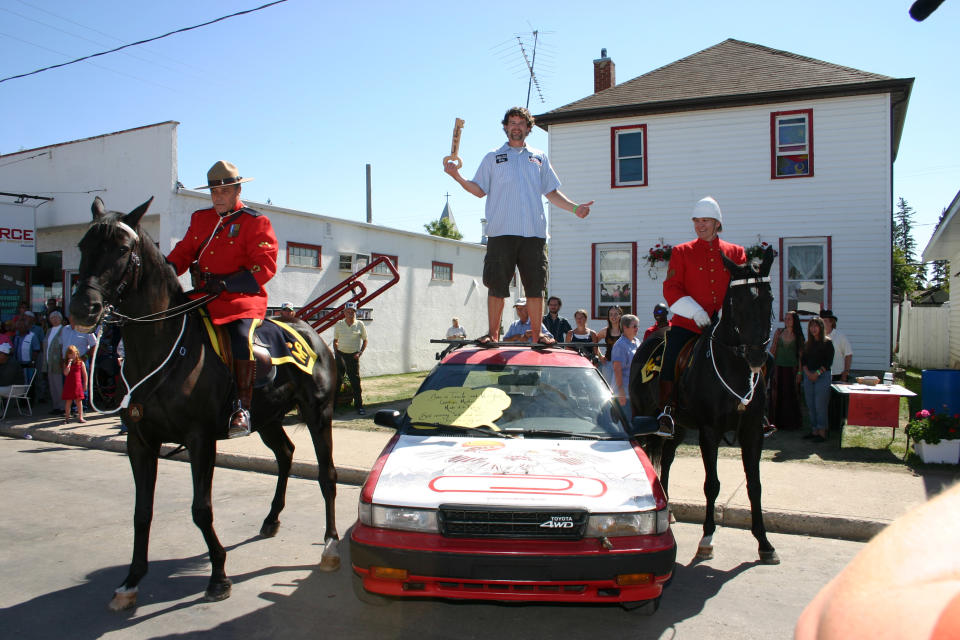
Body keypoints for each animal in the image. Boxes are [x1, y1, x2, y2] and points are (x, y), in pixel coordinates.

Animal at [67, 196, 340, 608]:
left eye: (122, 248)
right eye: (83, 246)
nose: (84, 309)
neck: (163, 346)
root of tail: (308, 328)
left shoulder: (200, 439)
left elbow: (201, 509)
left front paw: (219, 576)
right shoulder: (140, 442)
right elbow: (141, 512)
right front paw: (131, 580)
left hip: (318, 413)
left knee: (326, 475)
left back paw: (329, 545)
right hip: (267, 418)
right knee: (286, 454)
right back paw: (271, 519)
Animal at [632, 248, 780, 564]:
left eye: (769, 298)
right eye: (737, 301)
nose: (757, 356)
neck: (734, 366)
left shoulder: (752, 431)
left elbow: (755, 485)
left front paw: (764, 542)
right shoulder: (709, 431)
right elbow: (712, 484)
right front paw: (707, 538)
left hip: (676, 427)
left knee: (666, 460)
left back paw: (669, 511)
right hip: (645, 419)